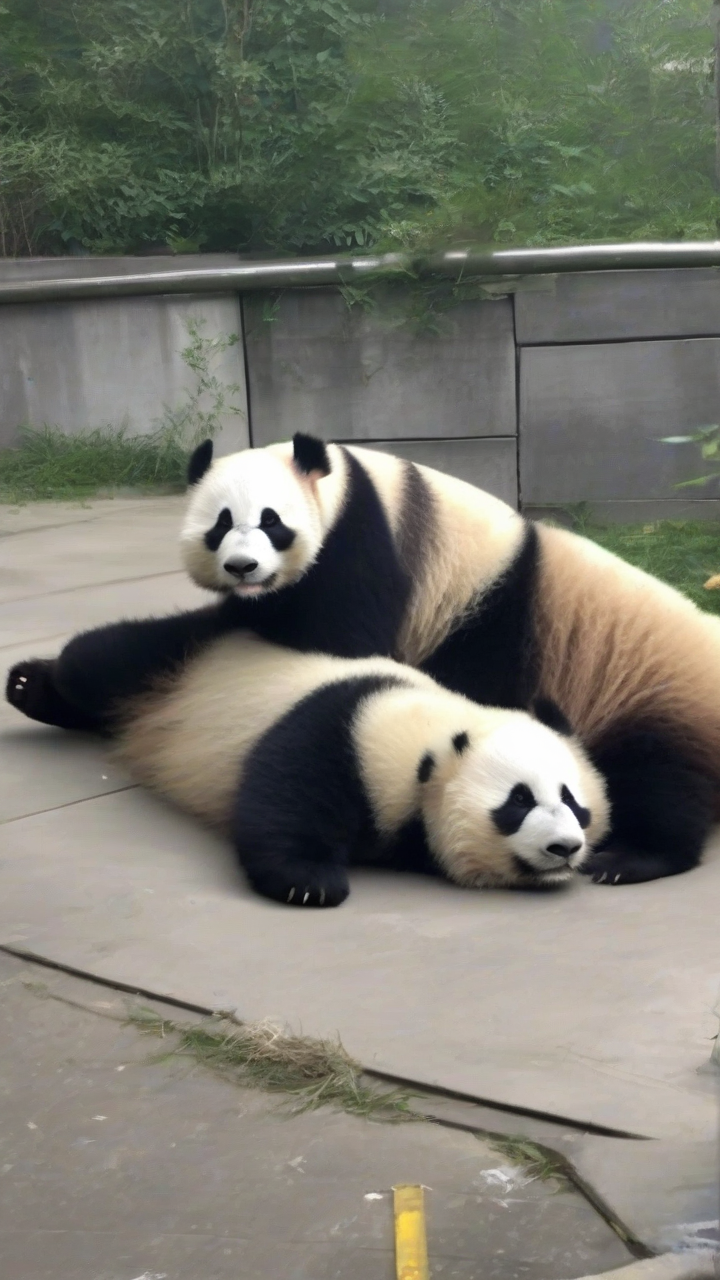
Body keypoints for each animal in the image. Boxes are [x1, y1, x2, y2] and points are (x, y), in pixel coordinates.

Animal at [112, 631, 609, 907]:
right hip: (179, 658)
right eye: (519, 800)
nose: (565, 847)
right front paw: (309, 884)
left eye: (571, 800)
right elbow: (286, 794)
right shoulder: (349, 733)